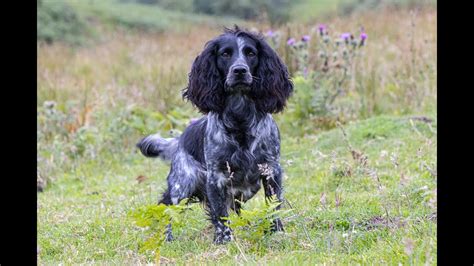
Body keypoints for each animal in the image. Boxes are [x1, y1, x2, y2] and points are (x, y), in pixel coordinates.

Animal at [136, 26, 292, 244]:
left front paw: (276, 232)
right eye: (225, 54)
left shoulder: (271, 169)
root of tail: (179, 140)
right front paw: (224, 240)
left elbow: (273, 207)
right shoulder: (216, 177)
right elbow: (220, 215)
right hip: (182, 185)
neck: (240, 119)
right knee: (168, 210)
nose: (239, 70)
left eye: (251, 53)